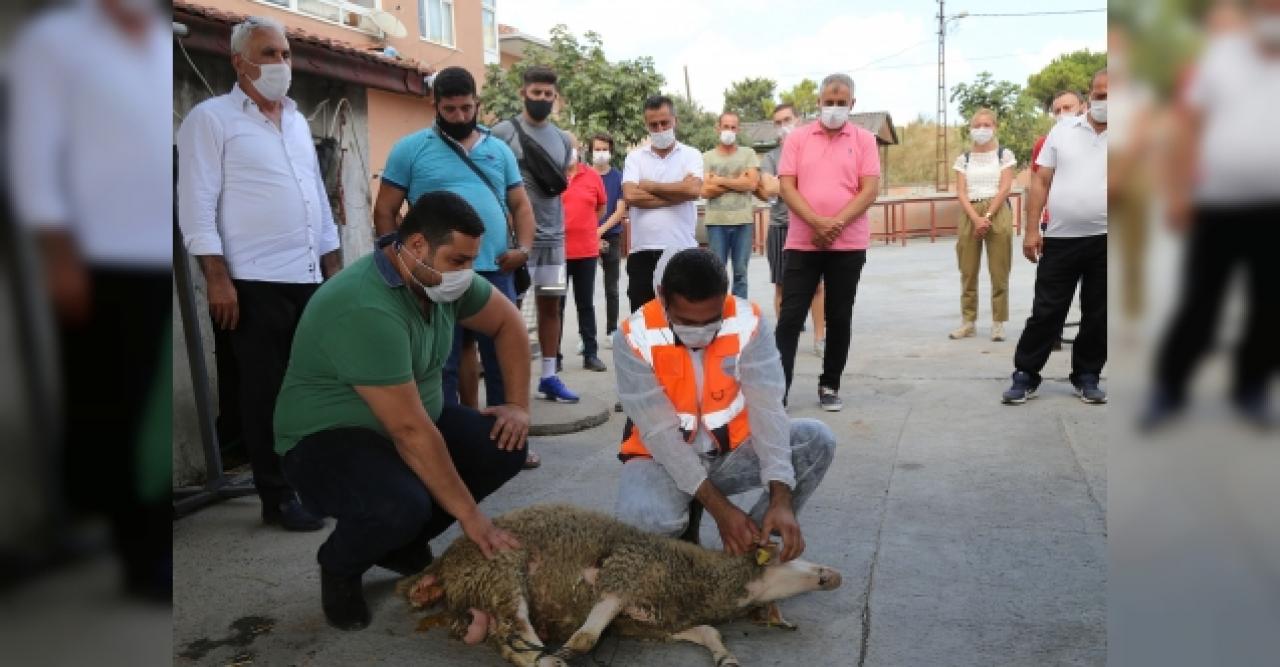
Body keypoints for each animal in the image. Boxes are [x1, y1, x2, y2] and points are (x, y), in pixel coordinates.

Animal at [396, 501, 839, 660]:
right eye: (788, 554)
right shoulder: (621, 574)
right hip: (501, 569)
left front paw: (725, 658)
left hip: (487, 591)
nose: (834, 576)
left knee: (511, 644)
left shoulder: (649, 624)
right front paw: (568, 651)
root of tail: (443, 565)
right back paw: (550, 658)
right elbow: (585, 638)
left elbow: (709, 632)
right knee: (522, 637)